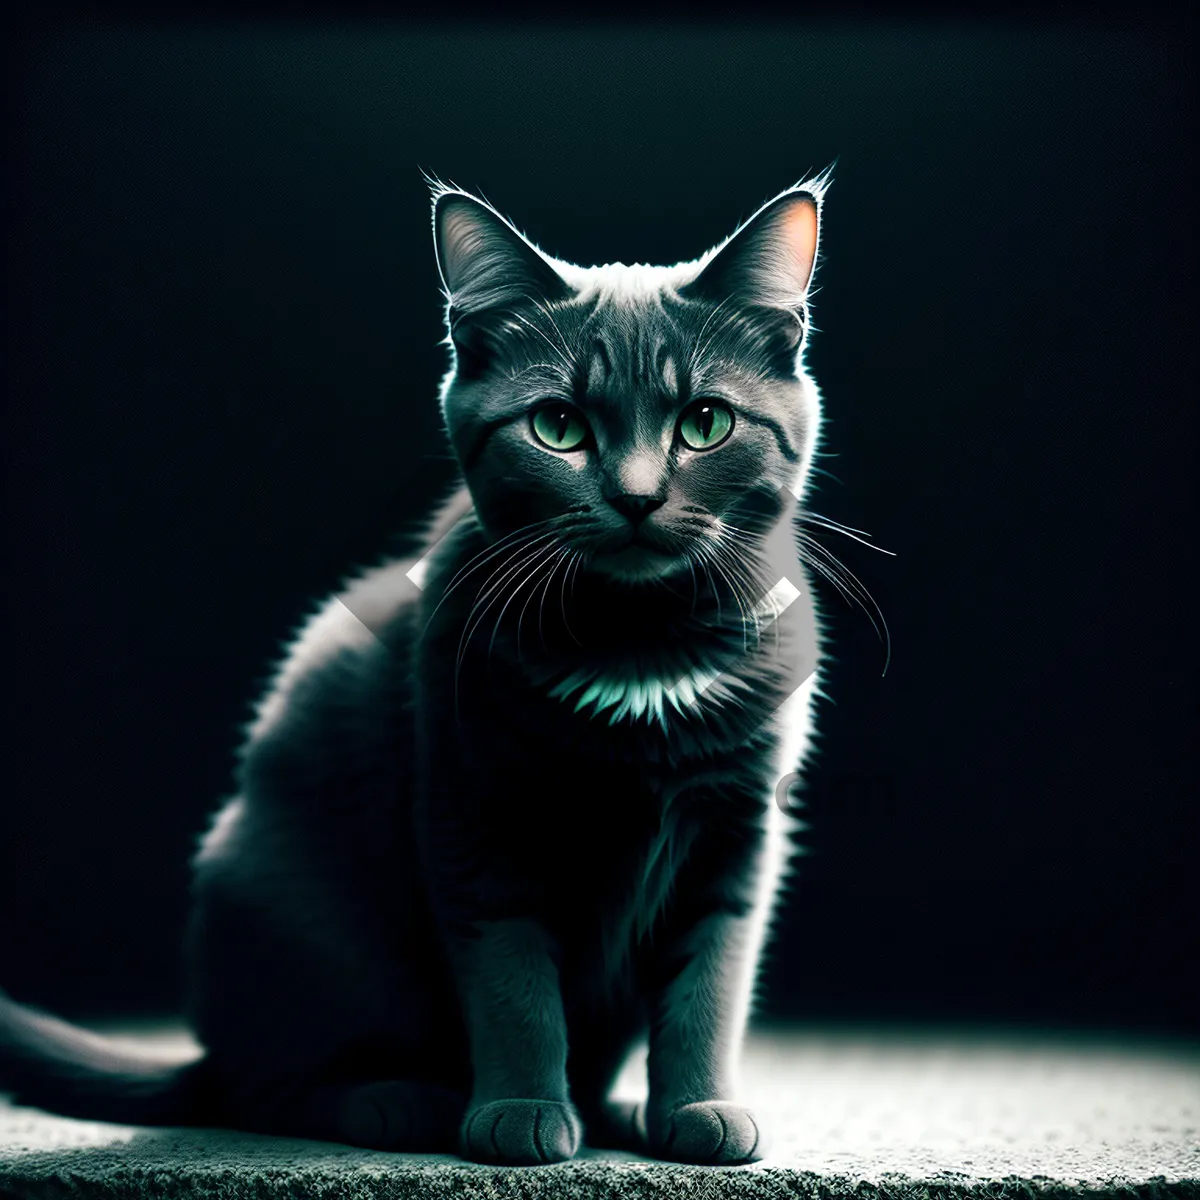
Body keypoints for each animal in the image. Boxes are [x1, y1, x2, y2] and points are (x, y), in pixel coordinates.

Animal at [0, 174, 830, 1166]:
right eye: (558, 426)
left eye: (705, 422)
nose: (636, 498)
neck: (639, 645)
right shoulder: (475, 812)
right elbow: (514, 982)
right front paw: (519, 1112)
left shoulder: (738, 830)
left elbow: (710, 981)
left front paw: (698, 1108)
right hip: (298, 912)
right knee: (265, 1089)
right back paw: (398, 1103)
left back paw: (616, 1113)